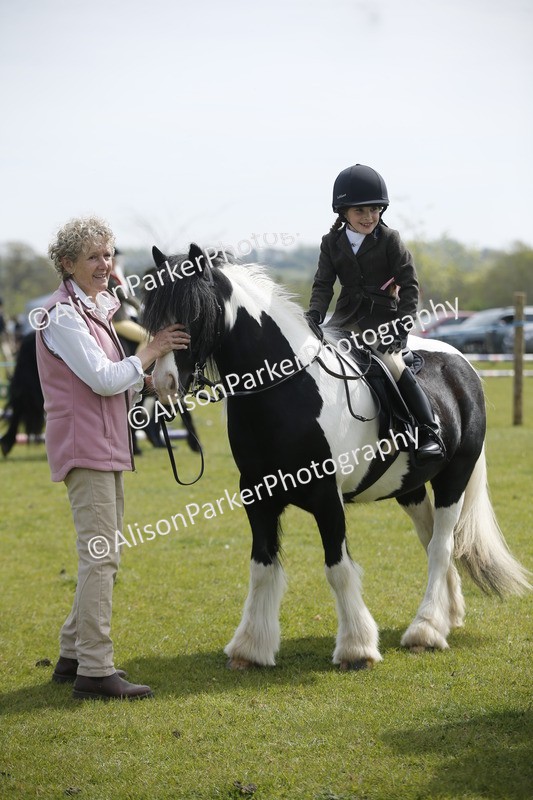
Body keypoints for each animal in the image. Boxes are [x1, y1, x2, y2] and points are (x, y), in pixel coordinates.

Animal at [142, 243, 531, 670]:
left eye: (194, 312)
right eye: (152, 314)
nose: (162, 383)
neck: (286, 388)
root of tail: (462, 366)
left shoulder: (327, 497)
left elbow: (338, 569)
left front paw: (356, 648)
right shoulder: (257, 497)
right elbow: (261, 568)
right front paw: (250, 648)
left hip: (454, 478)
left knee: (442, 546)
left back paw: (426, 629)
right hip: (408, 487)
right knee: (431, 542)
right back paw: (448, 614)